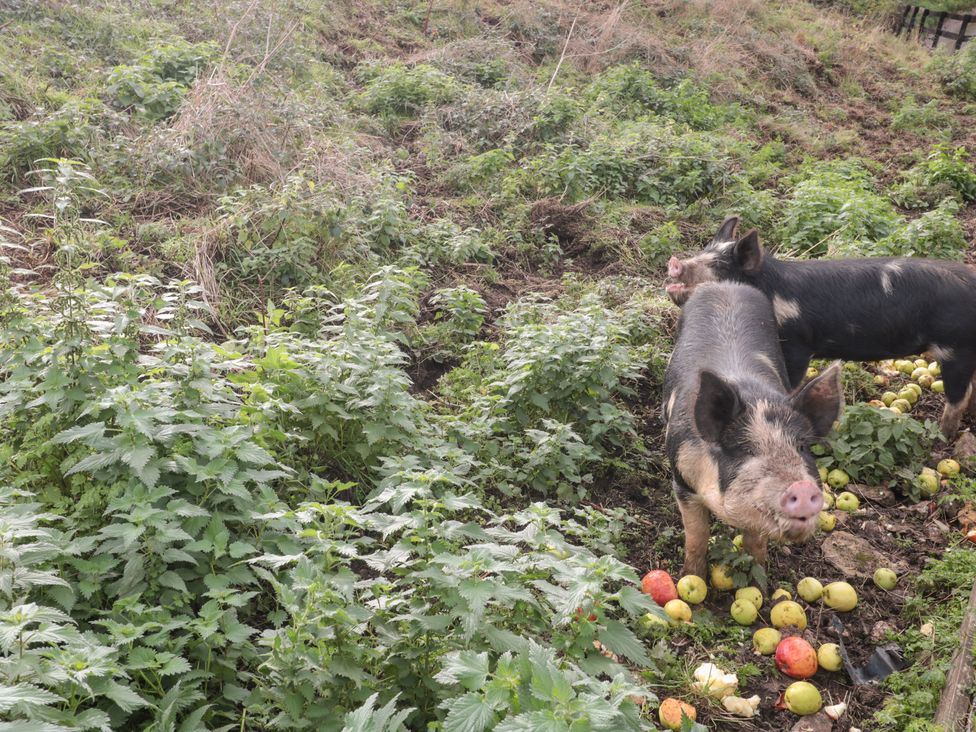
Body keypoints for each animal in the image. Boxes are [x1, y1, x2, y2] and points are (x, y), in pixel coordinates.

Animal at [663, 281, 844, 578]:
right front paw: (692, 577)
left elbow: (756, 544)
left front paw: (760, 581)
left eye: (802, 446)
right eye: (744, 449)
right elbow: (697, 536)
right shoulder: (682, 480)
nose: (802, 488)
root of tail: (724, 285)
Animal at [666, 216, 976, 438]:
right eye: (703, 252)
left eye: (718, 266)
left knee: (959, 396)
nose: (674, 262)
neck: (773, 291)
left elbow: (790, 384)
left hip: (956, 347)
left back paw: (940, 436)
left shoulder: (797, 345)